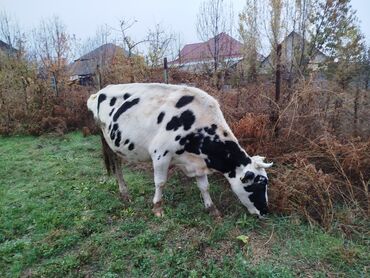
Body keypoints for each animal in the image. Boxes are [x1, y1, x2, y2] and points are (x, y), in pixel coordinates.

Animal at [86, 83, 272, 218]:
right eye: (258, 184)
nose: (265, 211)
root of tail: (101, 91)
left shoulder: (199, 161)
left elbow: (204, 186)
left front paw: (211, 208)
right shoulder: (160, 154)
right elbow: (160, 182)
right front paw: (157, 208)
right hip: (107, 139)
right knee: (116, 164)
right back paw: (124, 192)